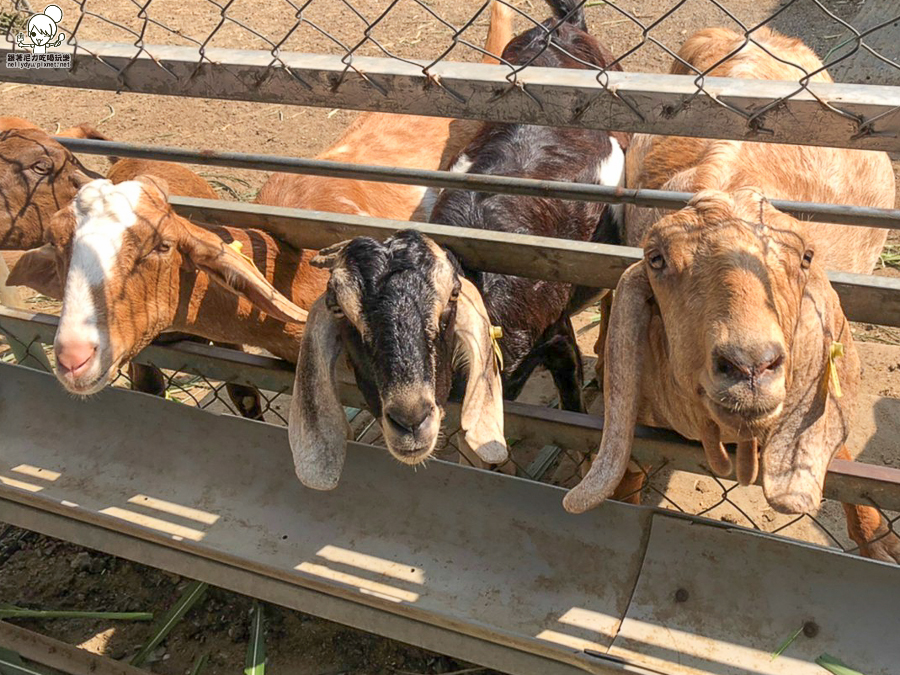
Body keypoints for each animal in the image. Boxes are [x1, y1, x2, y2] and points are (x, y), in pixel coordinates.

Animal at [288, 0, 624, 494]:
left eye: (448, 305)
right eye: (343, 314)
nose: (410, 420)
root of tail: (559, 26)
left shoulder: (559, 336)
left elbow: (576, 420)